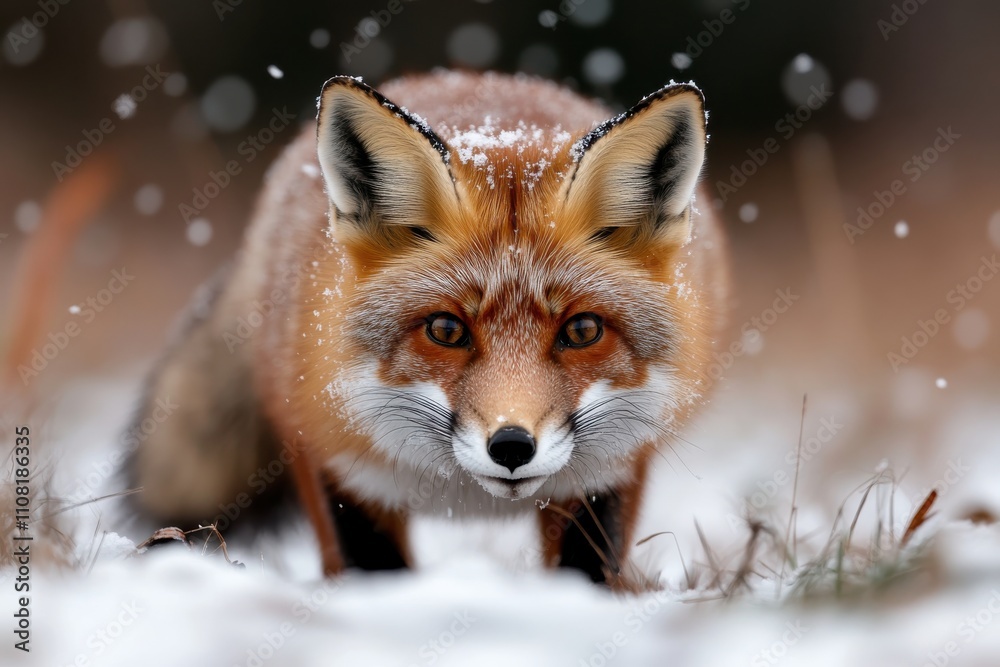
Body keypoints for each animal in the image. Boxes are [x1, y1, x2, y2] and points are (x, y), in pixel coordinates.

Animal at [125, 70, 727, 585]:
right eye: (445, 330)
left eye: (581, 332)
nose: (511, 446)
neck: (466, 495)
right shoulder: (339, 468)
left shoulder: (607, 476)